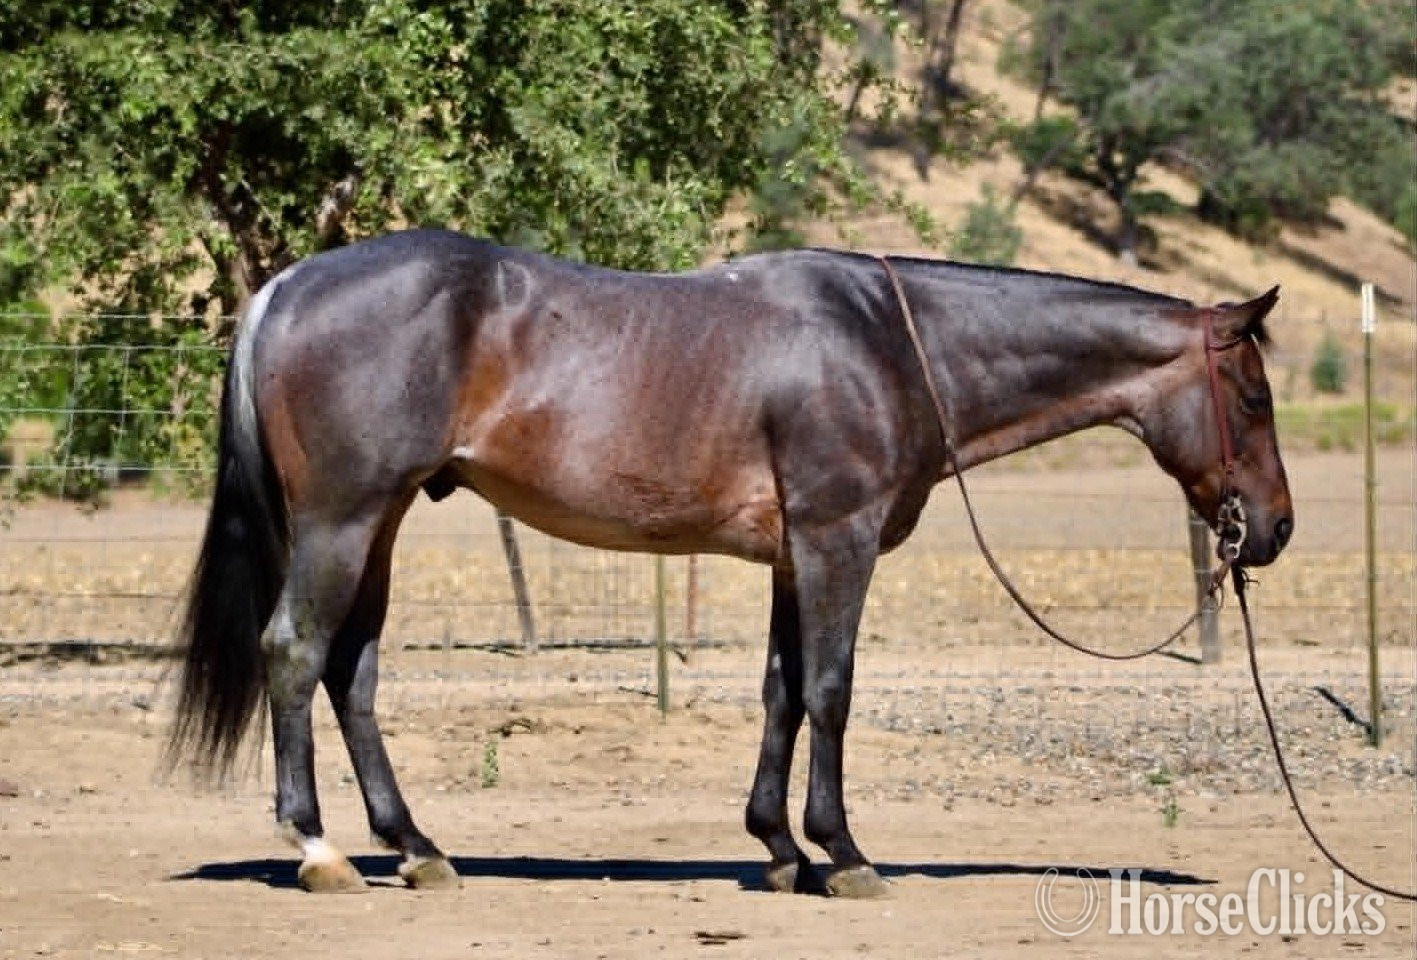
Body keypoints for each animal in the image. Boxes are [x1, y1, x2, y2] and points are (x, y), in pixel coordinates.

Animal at [169, 229, 1292, 896]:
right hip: (344, 518)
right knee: (295, 652)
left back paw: (418, 848)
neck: (891, 343)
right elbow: (831, 691)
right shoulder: (838, 539)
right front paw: (843, 856)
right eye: (1252, 398)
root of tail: (285, 285)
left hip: (384, 521)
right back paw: (319, 849)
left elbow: (781, 692)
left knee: (351, 672)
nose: (1272, 531)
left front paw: (780, 850)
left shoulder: (795, 556)